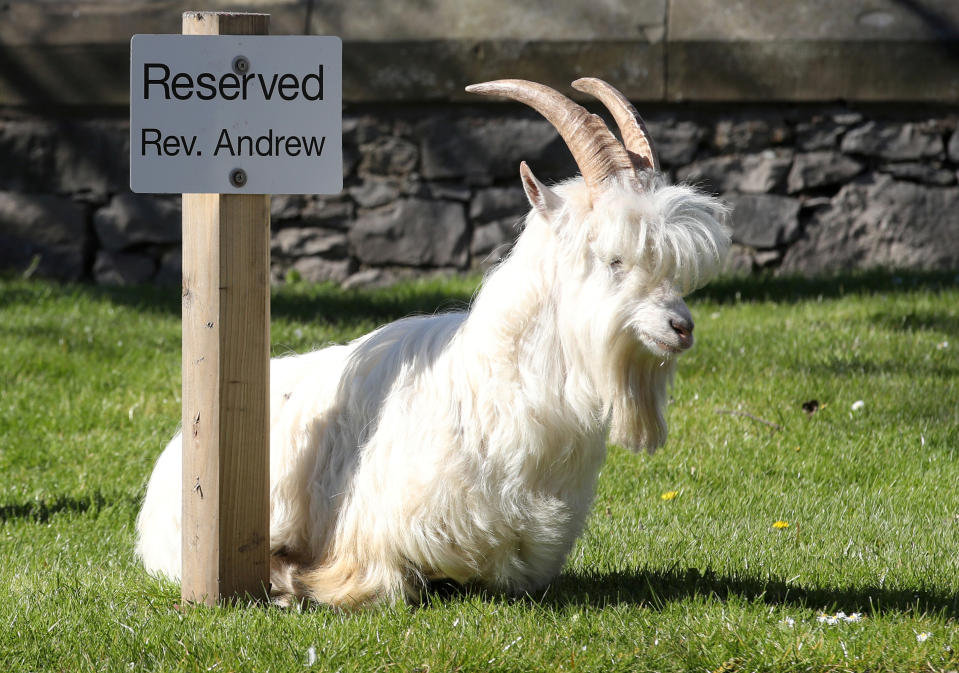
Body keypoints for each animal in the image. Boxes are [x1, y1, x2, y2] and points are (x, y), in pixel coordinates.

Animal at [137, 79, 728, 608]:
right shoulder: (369, 543)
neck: (486, 392)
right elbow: (384, 587)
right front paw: (291, 585)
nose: (681, 327)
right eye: (613, 259)